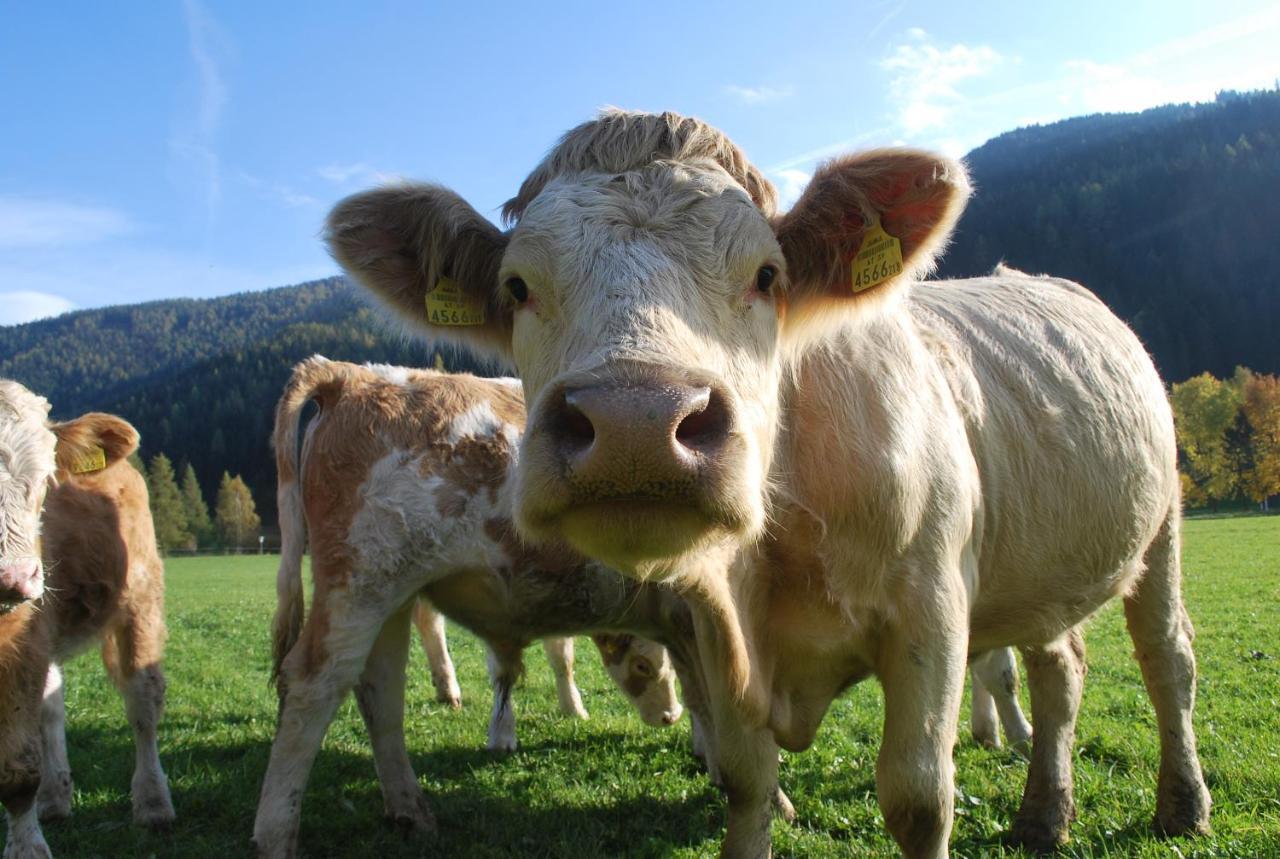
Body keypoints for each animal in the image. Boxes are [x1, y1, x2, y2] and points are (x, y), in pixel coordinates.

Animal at [0, 386, 172, 859]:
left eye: (44, 481)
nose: (13, 578)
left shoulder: (22, 647)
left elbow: (16, 770)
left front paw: (27, 849)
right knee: (51, 704)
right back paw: (54, 798)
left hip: (139, 603)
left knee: (143, 704)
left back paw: (153, 802)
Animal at [253, 358, 696, 855]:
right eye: (641, 668)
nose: (669, 716)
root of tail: (351, 374)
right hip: (359, 587)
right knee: (313, 686)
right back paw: (275, 835)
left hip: (388, 595)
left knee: (380, 690)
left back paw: (410, 810)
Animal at [330, 110, 1208, 855]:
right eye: (516, 287)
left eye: (766, 274)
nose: (635, 424)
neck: (781, 539)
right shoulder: (714, 623)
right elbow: (746, 781)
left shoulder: (931, 605)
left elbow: (919, 798)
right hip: (1040, 561)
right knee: (1061, 667)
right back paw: (1044, 813)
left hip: (1161, 519)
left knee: (1167, 658)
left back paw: (1182, 803)